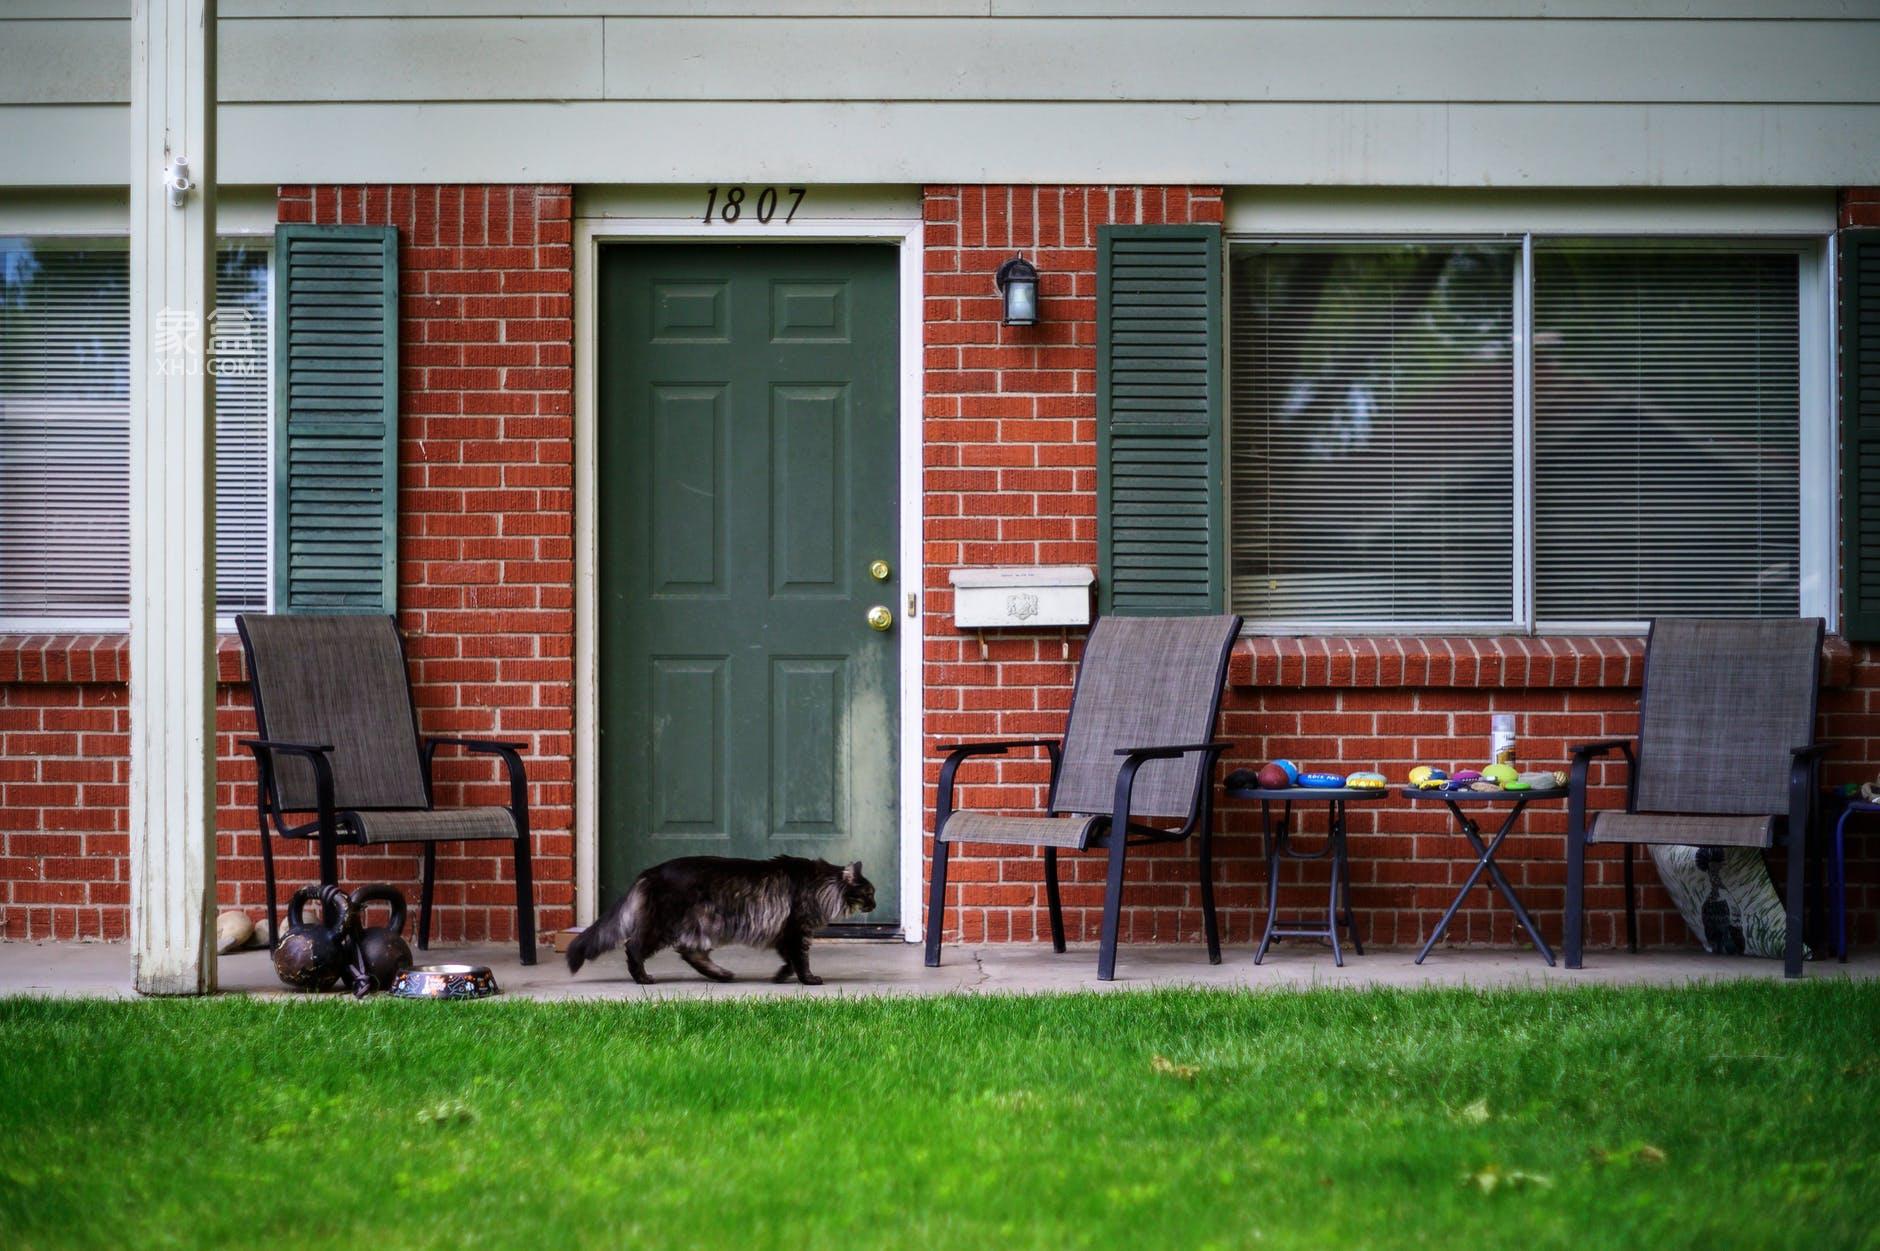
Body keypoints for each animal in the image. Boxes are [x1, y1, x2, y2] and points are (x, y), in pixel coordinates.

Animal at [560, 854, 876, 978]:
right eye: (869, 893)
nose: (875, 905)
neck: (821, 885)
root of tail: (651, 871)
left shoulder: (784, 933)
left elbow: (789, 960)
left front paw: (781, 977)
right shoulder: (796, 930)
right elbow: (801, 959)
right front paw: (809, 979)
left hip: (701, 926)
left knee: (691, 953)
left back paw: (722, 974)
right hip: (667, 925)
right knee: (633, 946)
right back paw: (643, 979)